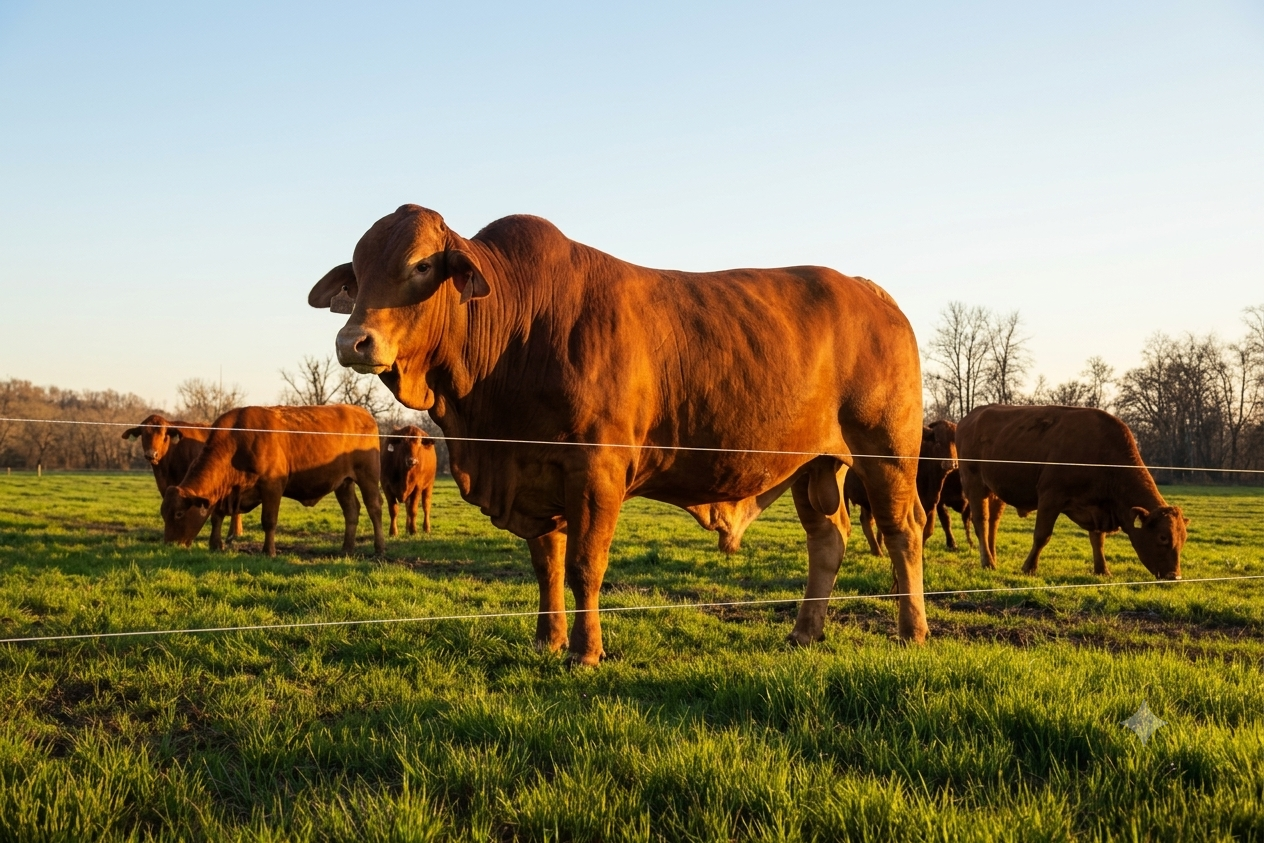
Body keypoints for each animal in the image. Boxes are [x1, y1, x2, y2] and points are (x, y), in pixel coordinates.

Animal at [161, 405, 385, 557]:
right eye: (164, 514)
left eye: (179, 514)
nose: (170, 545)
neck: (237, 441)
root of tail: (360, 412)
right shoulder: (225, 493)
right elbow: (217, 516)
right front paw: (215, 545)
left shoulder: (272, 487)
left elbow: (268, 521)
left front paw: (269, 551)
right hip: (343, 483)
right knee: (351, 511)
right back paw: (346, 548)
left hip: (369, 477)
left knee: (374, 508)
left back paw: (379, 548)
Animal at [308, 204, 929, 665]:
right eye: (357, 274)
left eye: (419, 266)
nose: (352, 341)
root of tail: (871, 292)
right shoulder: (537, 475)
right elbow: (547, 563)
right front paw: (548, 639)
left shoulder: (596, 469)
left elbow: (585, 565)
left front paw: (585, 652)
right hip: (813, 464)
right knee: (827, 540)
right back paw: (803, 632)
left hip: (887, 451)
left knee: (903, 531)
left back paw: (912, 630)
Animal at [843, 420, 957, 556]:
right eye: (938, 442)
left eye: (955, 443)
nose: (951, 464)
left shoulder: (932, 504)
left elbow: (928, 531)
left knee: (866, 521)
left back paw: (877, 550)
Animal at [956, 404, 1187, 579]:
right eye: (1162, 537)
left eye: (1183, 538)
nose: (1174, 576)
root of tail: (971, 416)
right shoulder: (1050, 497)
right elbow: (1042, 536)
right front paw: (1029, 568)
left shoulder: (1097, 509)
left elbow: (1098, 540)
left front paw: (1102, 571)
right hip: (974, 484)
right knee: (981, 522)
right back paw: (988, 562)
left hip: (995, 491)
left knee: (993, 523)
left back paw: (993, 559)